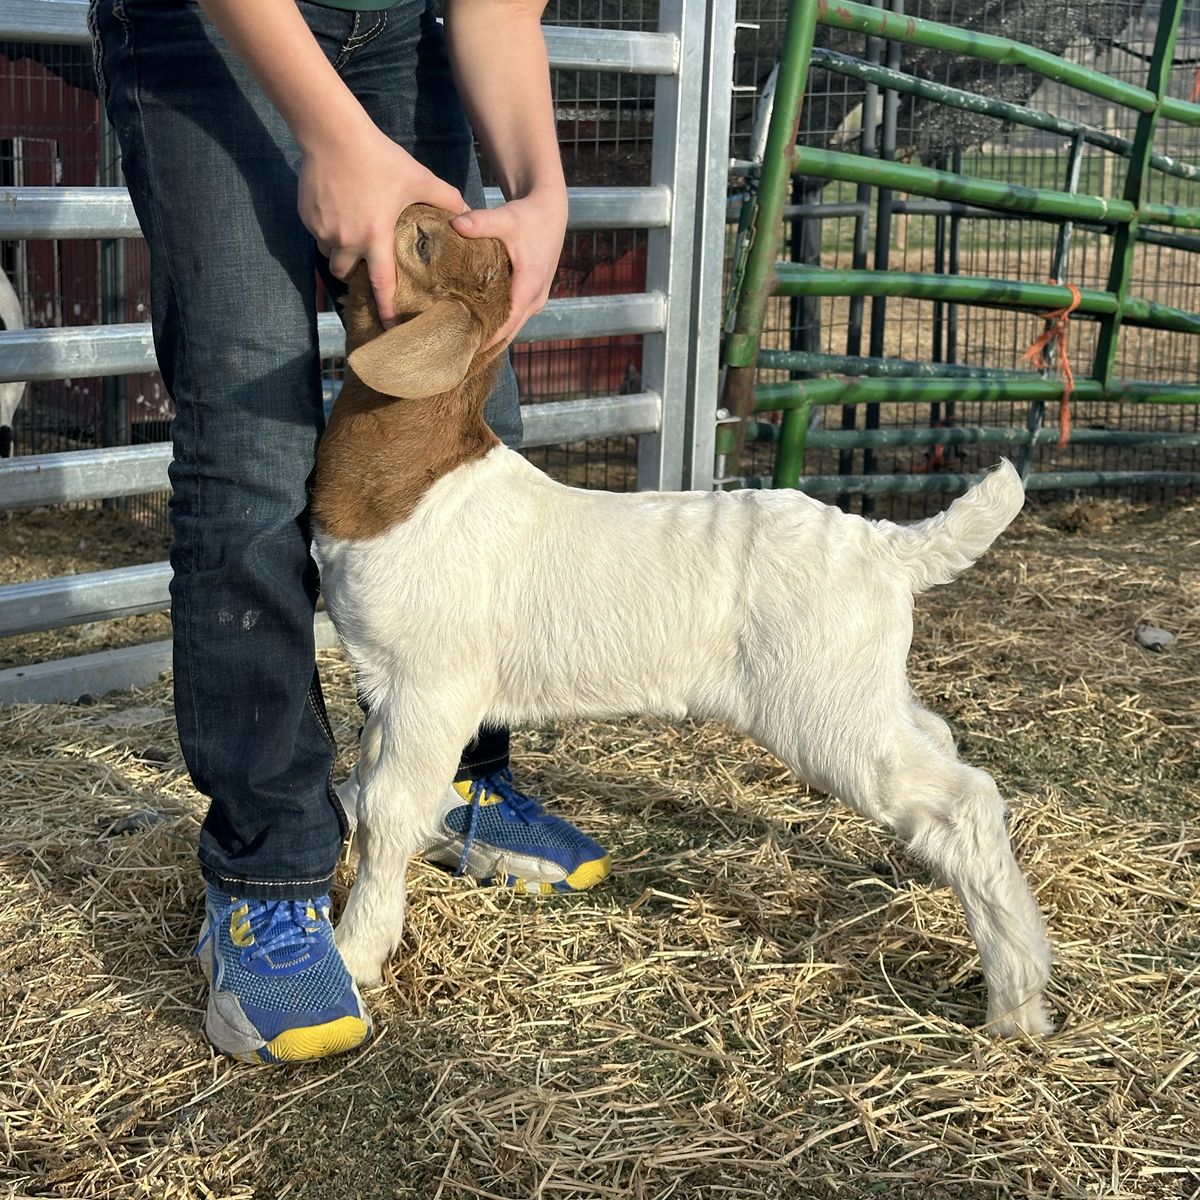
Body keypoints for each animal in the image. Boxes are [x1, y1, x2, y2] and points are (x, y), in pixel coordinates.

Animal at [311, 204, 1052, 1037]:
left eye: (420, 239)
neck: (415, 479)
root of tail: (887, 547)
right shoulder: (386, 685)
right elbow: (362, 786)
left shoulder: (431, 687)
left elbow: (389, 809)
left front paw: (356, 952)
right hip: (867, 688)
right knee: (944, 746)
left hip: (827, 711)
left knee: (966, 802)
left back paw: (1017, 1001)